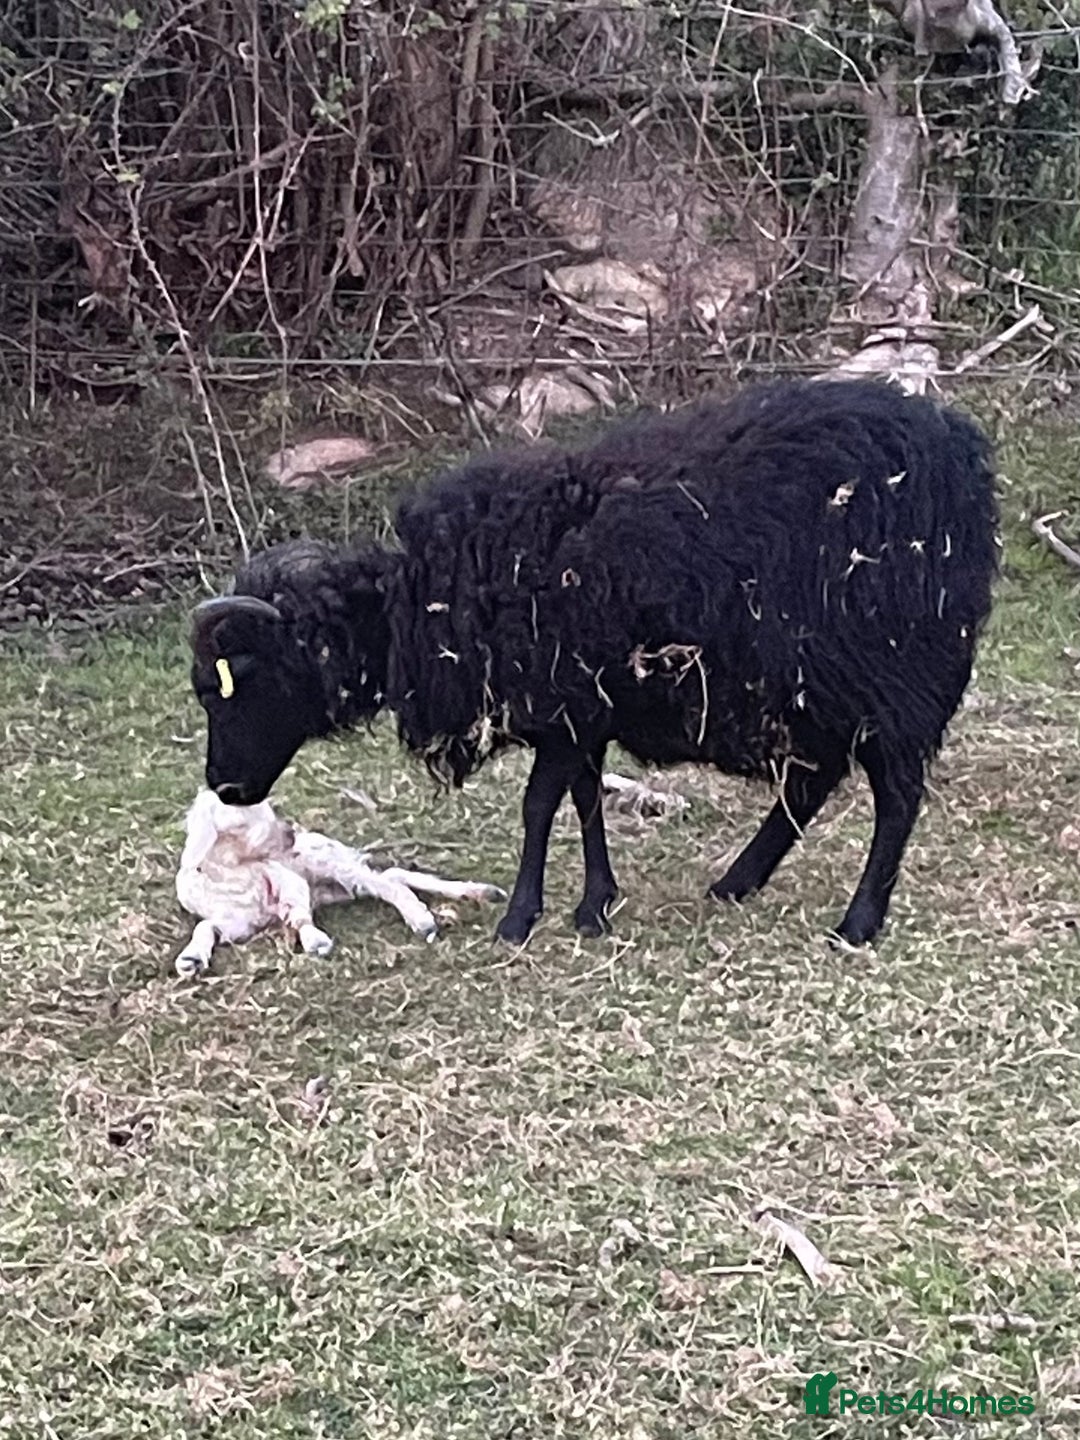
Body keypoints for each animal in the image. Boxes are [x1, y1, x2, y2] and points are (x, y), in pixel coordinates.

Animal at [174, 787, 507, 978]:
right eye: (249, 815)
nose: (291, 835)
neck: (237, 874)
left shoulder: (293, 883)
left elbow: (299, 916)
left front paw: (316, 941)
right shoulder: (236, 923)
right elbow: (206, 926)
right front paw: (191, 957)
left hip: (327, 861)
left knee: (388, 883)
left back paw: (426, 915)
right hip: (336, 887)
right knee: (391, 877)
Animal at [189, 377, 999, 948]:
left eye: (241, 683)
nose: (224, 787)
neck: (417, 606)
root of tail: (961, 454)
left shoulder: (567, 704)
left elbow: (538, 803)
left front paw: (522, 917)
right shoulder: (580, 710)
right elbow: (580, 798)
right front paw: (593, 904)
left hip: (890, 675)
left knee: (894, 797)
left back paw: (858, 921)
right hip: (816, 687)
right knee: (813, 781)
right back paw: (738, 881)